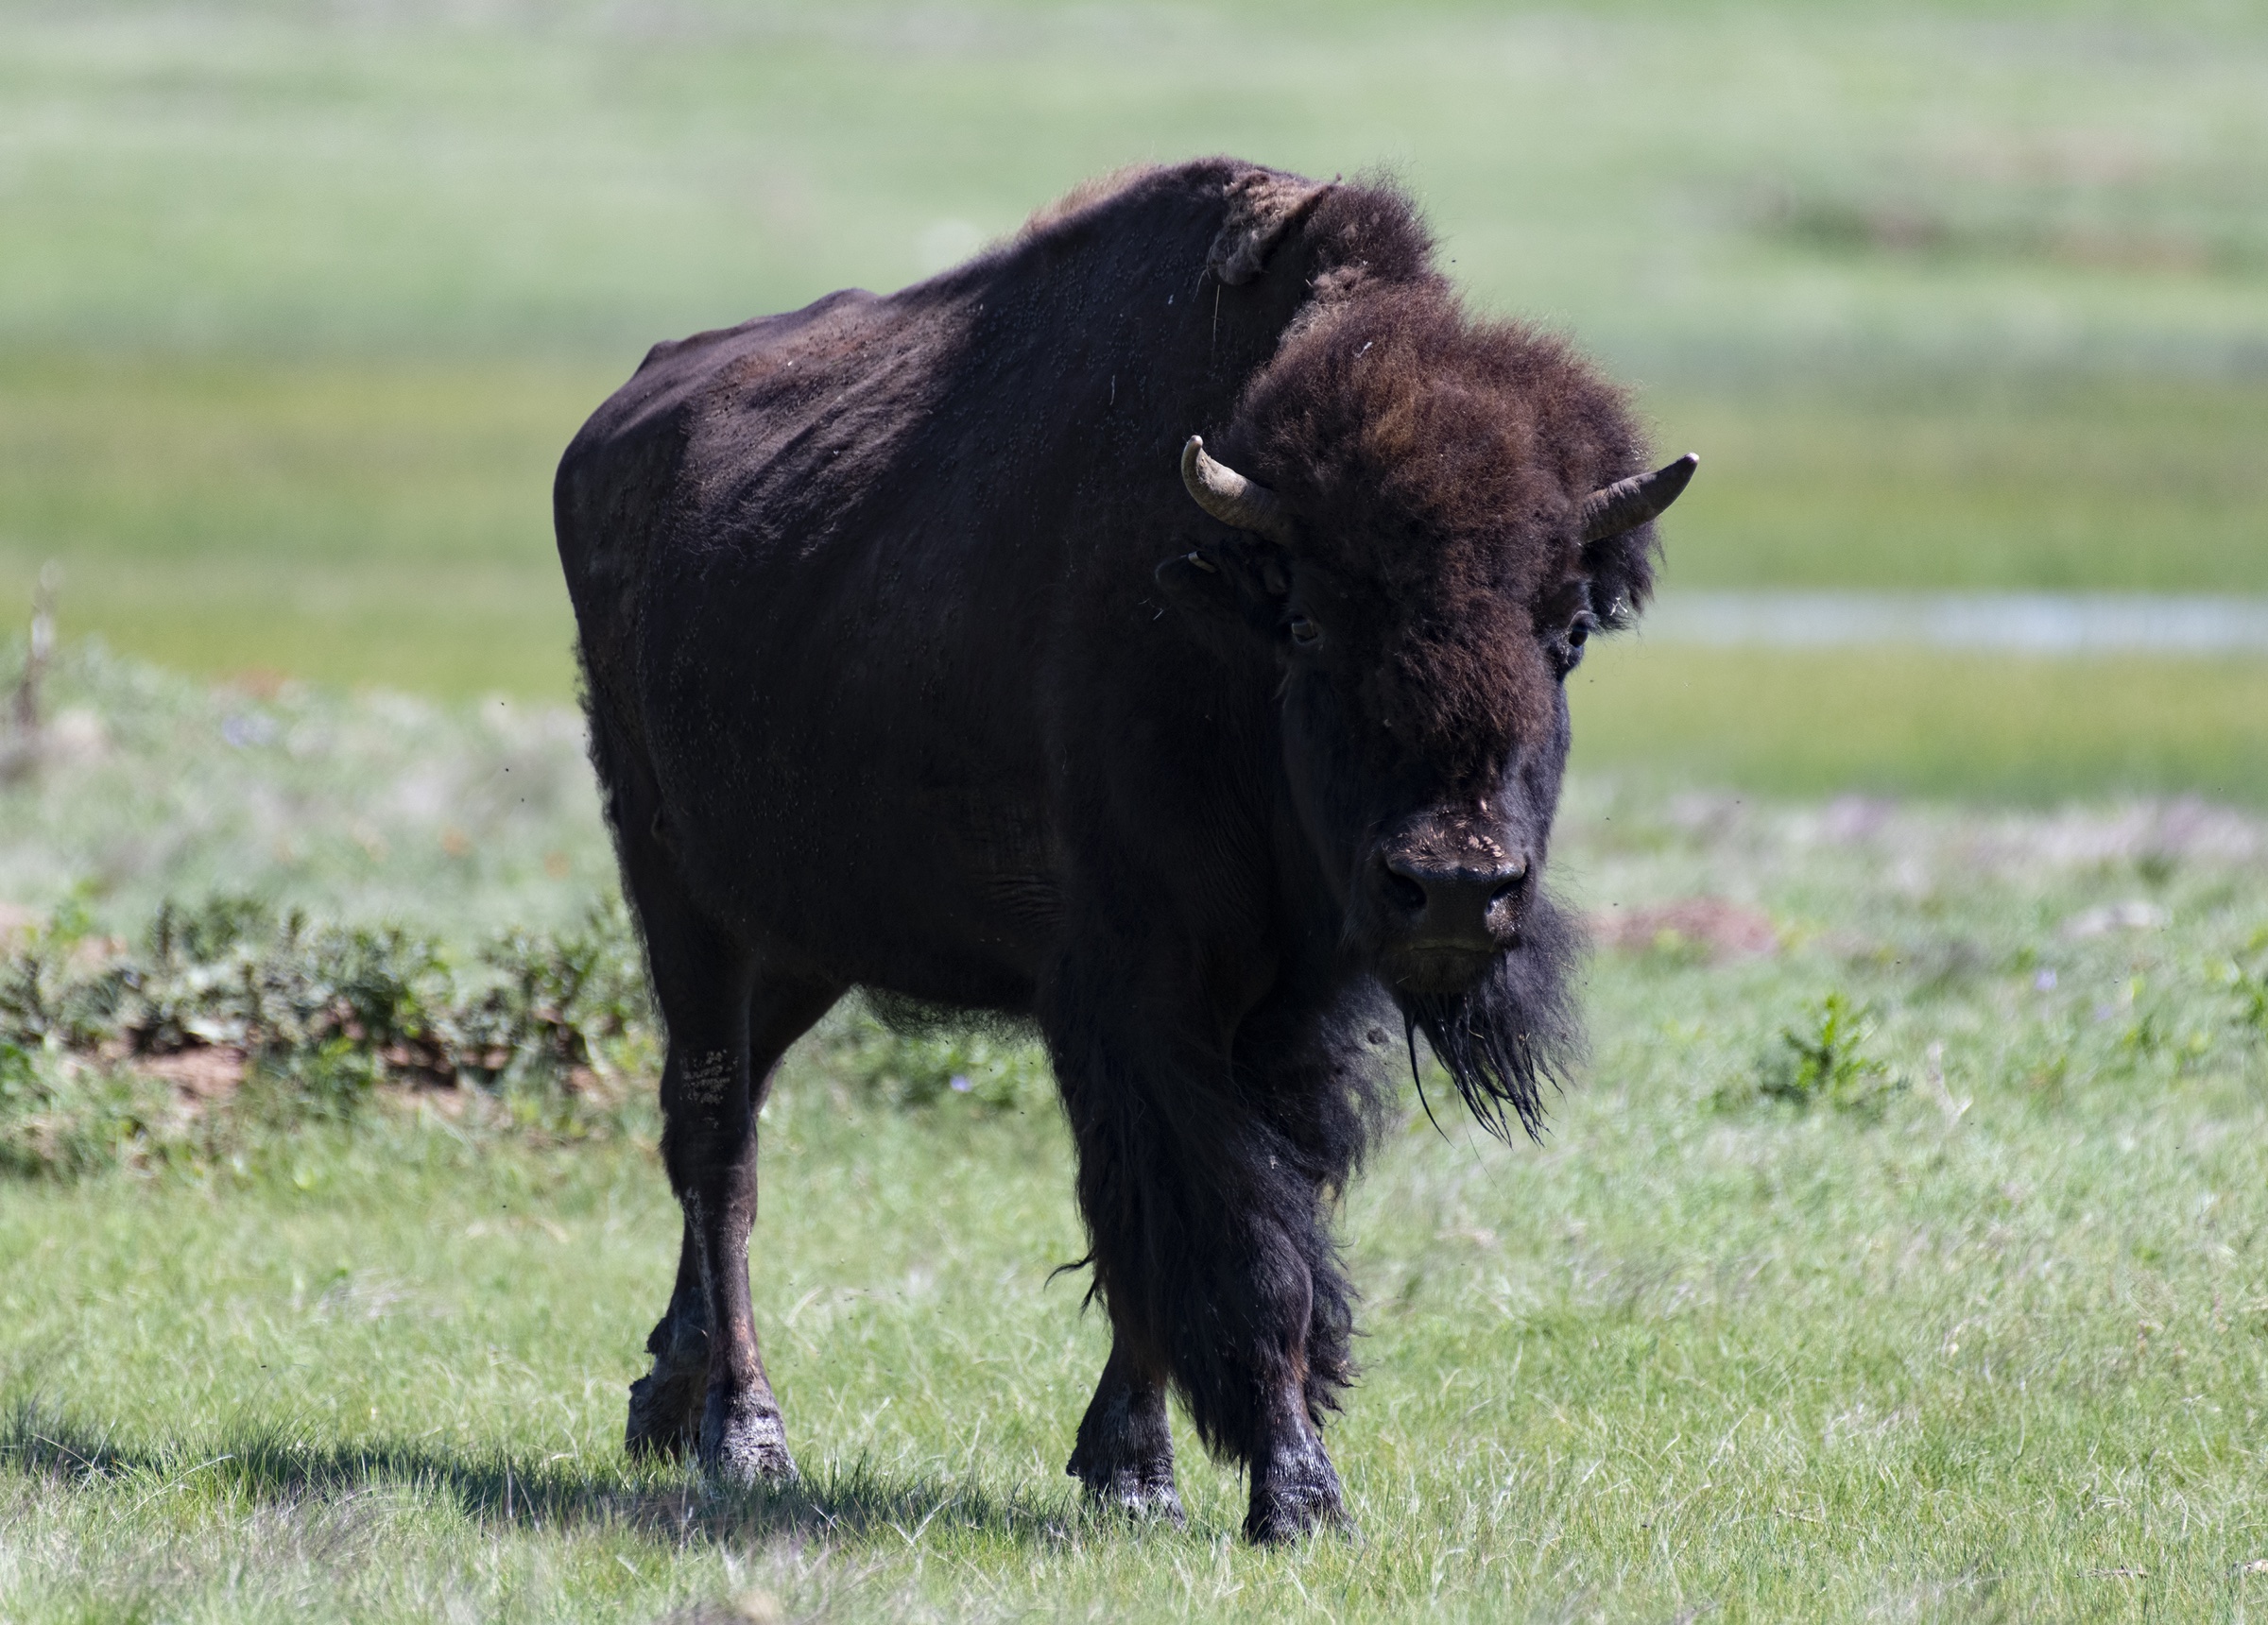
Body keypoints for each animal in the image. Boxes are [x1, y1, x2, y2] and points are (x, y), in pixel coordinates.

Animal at [554, 158, 1694, 1542]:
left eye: (1567, 629)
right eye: (1309, 622)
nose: (1453, 885)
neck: (1216, 619)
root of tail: (617, 421)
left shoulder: (1289, 1015)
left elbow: (1217, 1223)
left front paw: (1135, 1472)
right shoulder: (1138, 992)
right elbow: (1225, 1233)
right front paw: (1293, 1495)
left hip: (804, 941)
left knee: (718, 1121)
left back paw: (665, 1399)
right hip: (681, 894)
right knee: (721, 1149)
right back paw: (745, 1435)